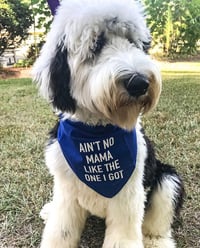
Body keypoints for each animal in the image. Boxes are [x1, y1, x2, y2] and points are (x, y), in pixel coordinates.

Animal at [32, 0, 184, 247]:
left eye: (133, 41)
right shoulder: (66, 190)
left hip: (167, 178)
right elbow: (61, 230)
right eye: (96, 45)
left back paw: (156, 241)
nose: (139, 83)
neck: (96, 133)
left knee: (157, 223)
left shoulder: (129, 194)